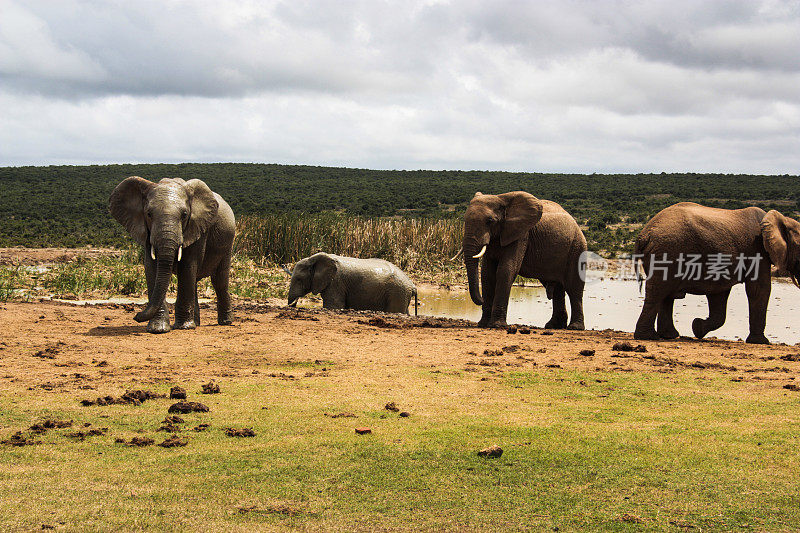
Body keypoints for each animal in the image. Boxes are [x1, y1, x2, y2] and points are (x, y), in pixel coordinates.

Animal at [109, 175, 236, 332]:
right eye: (149, 214)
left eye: (184, 215)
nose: (136, 316)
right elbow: (152, 268)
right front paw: (157, 329)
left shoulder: (198, 227)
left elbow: (187, 265)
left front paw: (183, 328)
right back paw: (196, 323)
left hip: (228, 242)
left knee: (219, 281)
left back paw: (225, 322)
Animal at [286, 252, 416, 314]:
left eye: (299, 279)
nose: (294, 303)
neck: (312, 259)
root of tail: (412, 285)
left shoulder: (335, 283)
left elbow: (333, 306)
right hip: (402, 293)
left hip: (397, 292)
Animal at [462, 191, 588, 330]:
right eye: (464, 219)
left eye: (490, 221)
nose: (482, 300)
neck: (502, 199)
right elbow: (487, 275)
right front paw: (483, 324)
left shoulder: (521, 234)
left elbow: (506, 270)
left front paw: (496, 325)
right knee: (557, 289)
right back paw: (554, 326)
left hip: (577, 248)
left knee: (574, 289)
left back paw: (575, 327)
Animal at [632, 202, 800, 342]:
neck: (781, 219)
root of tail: (644, 234)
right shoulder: (757, 251)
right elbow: (759, 290)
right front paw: (761, 342)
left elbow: (718, 294)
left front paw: (697, 328)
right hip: (668, 251)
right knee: (659, 291)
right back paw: (648, 337)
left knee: (666, 294)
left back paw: (669, 336)